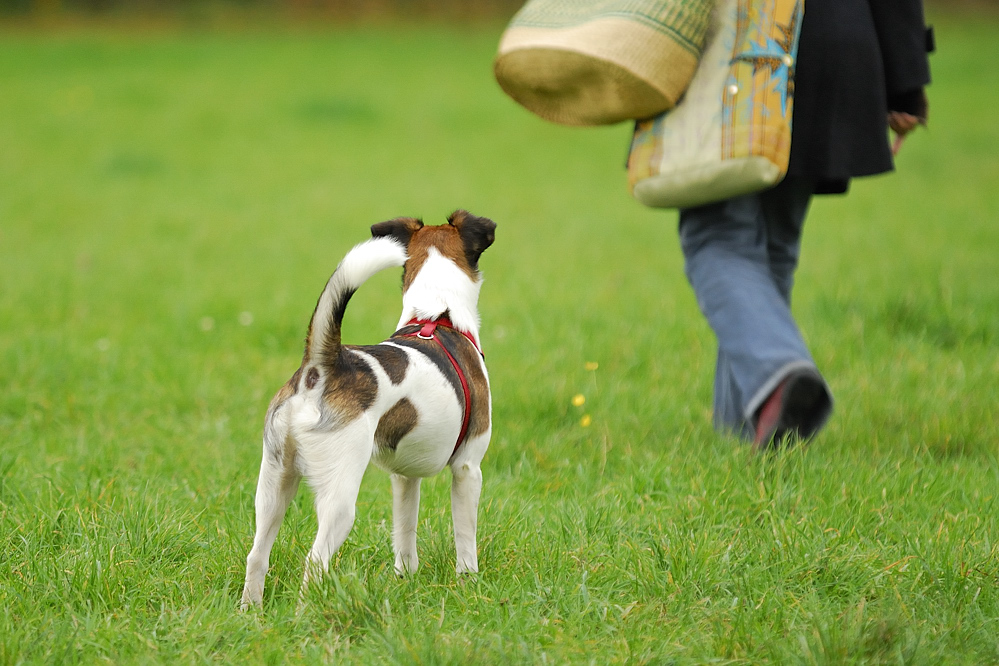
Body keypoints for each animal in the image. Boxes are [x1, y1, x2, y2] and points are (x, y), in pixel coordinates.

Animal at [239, 209, 496, 608]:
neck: (438, 314)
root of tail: (321, 367)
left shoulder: (404, 479)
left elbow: (405, 535)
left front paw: (406, 579)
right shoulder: (468, 468)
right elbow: (465, 538)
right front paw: (469, 583)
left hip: (272, 484)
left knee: (256, 555)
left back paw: (250, 610)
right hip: (339, 496)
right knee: (315, 561)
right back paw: (306, 612)